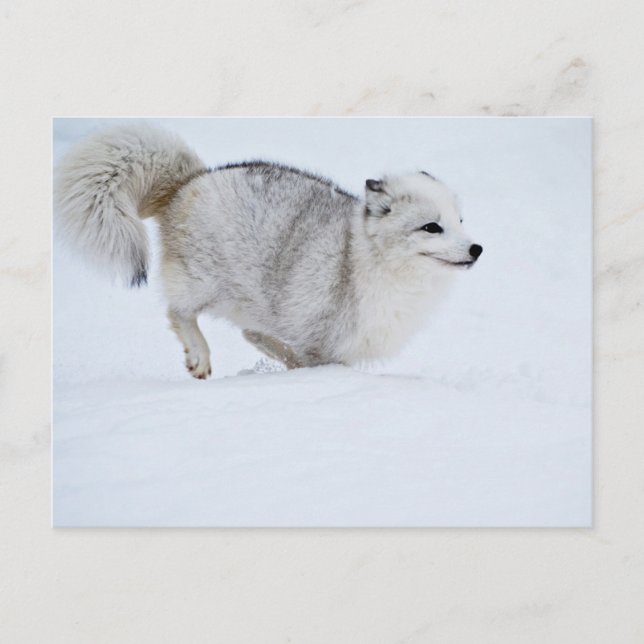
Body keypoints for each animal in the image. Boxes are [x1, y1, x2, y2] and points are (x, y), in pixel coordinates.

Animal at [55, 123, 483, 379]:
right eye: (432, 227)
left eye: (460, 221)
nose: (477, 248)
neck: (367, 261)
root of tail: (190, 181)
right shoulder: (325, 347)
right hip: (204, 283)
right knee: (178, 313)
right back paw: (200, 356)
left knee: (250, 333)